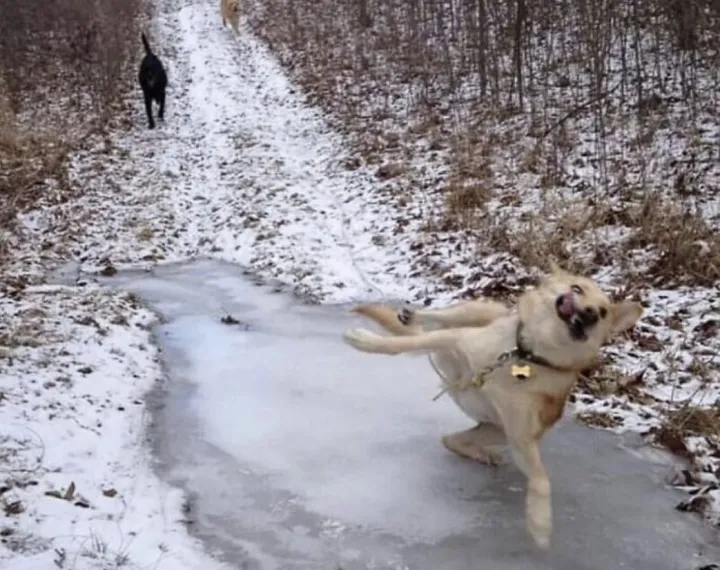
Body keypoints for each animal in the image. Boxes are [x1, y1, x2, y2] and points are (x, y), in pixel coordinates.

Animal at [344, 264, 640, 548]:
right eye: (577, 289)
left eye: (603, 312)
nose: (590, 313)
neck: (525, 356)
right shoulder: (456, 339)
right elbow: (402, 343)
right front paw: (368, 341)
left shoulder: (521, 438)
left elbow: (542, 481)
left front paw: (540, 522)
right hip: (477, 312)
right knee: (441, 317)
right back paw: (414, 316)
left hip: (495, 430)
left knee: (450, 439)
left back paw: (480, 453)